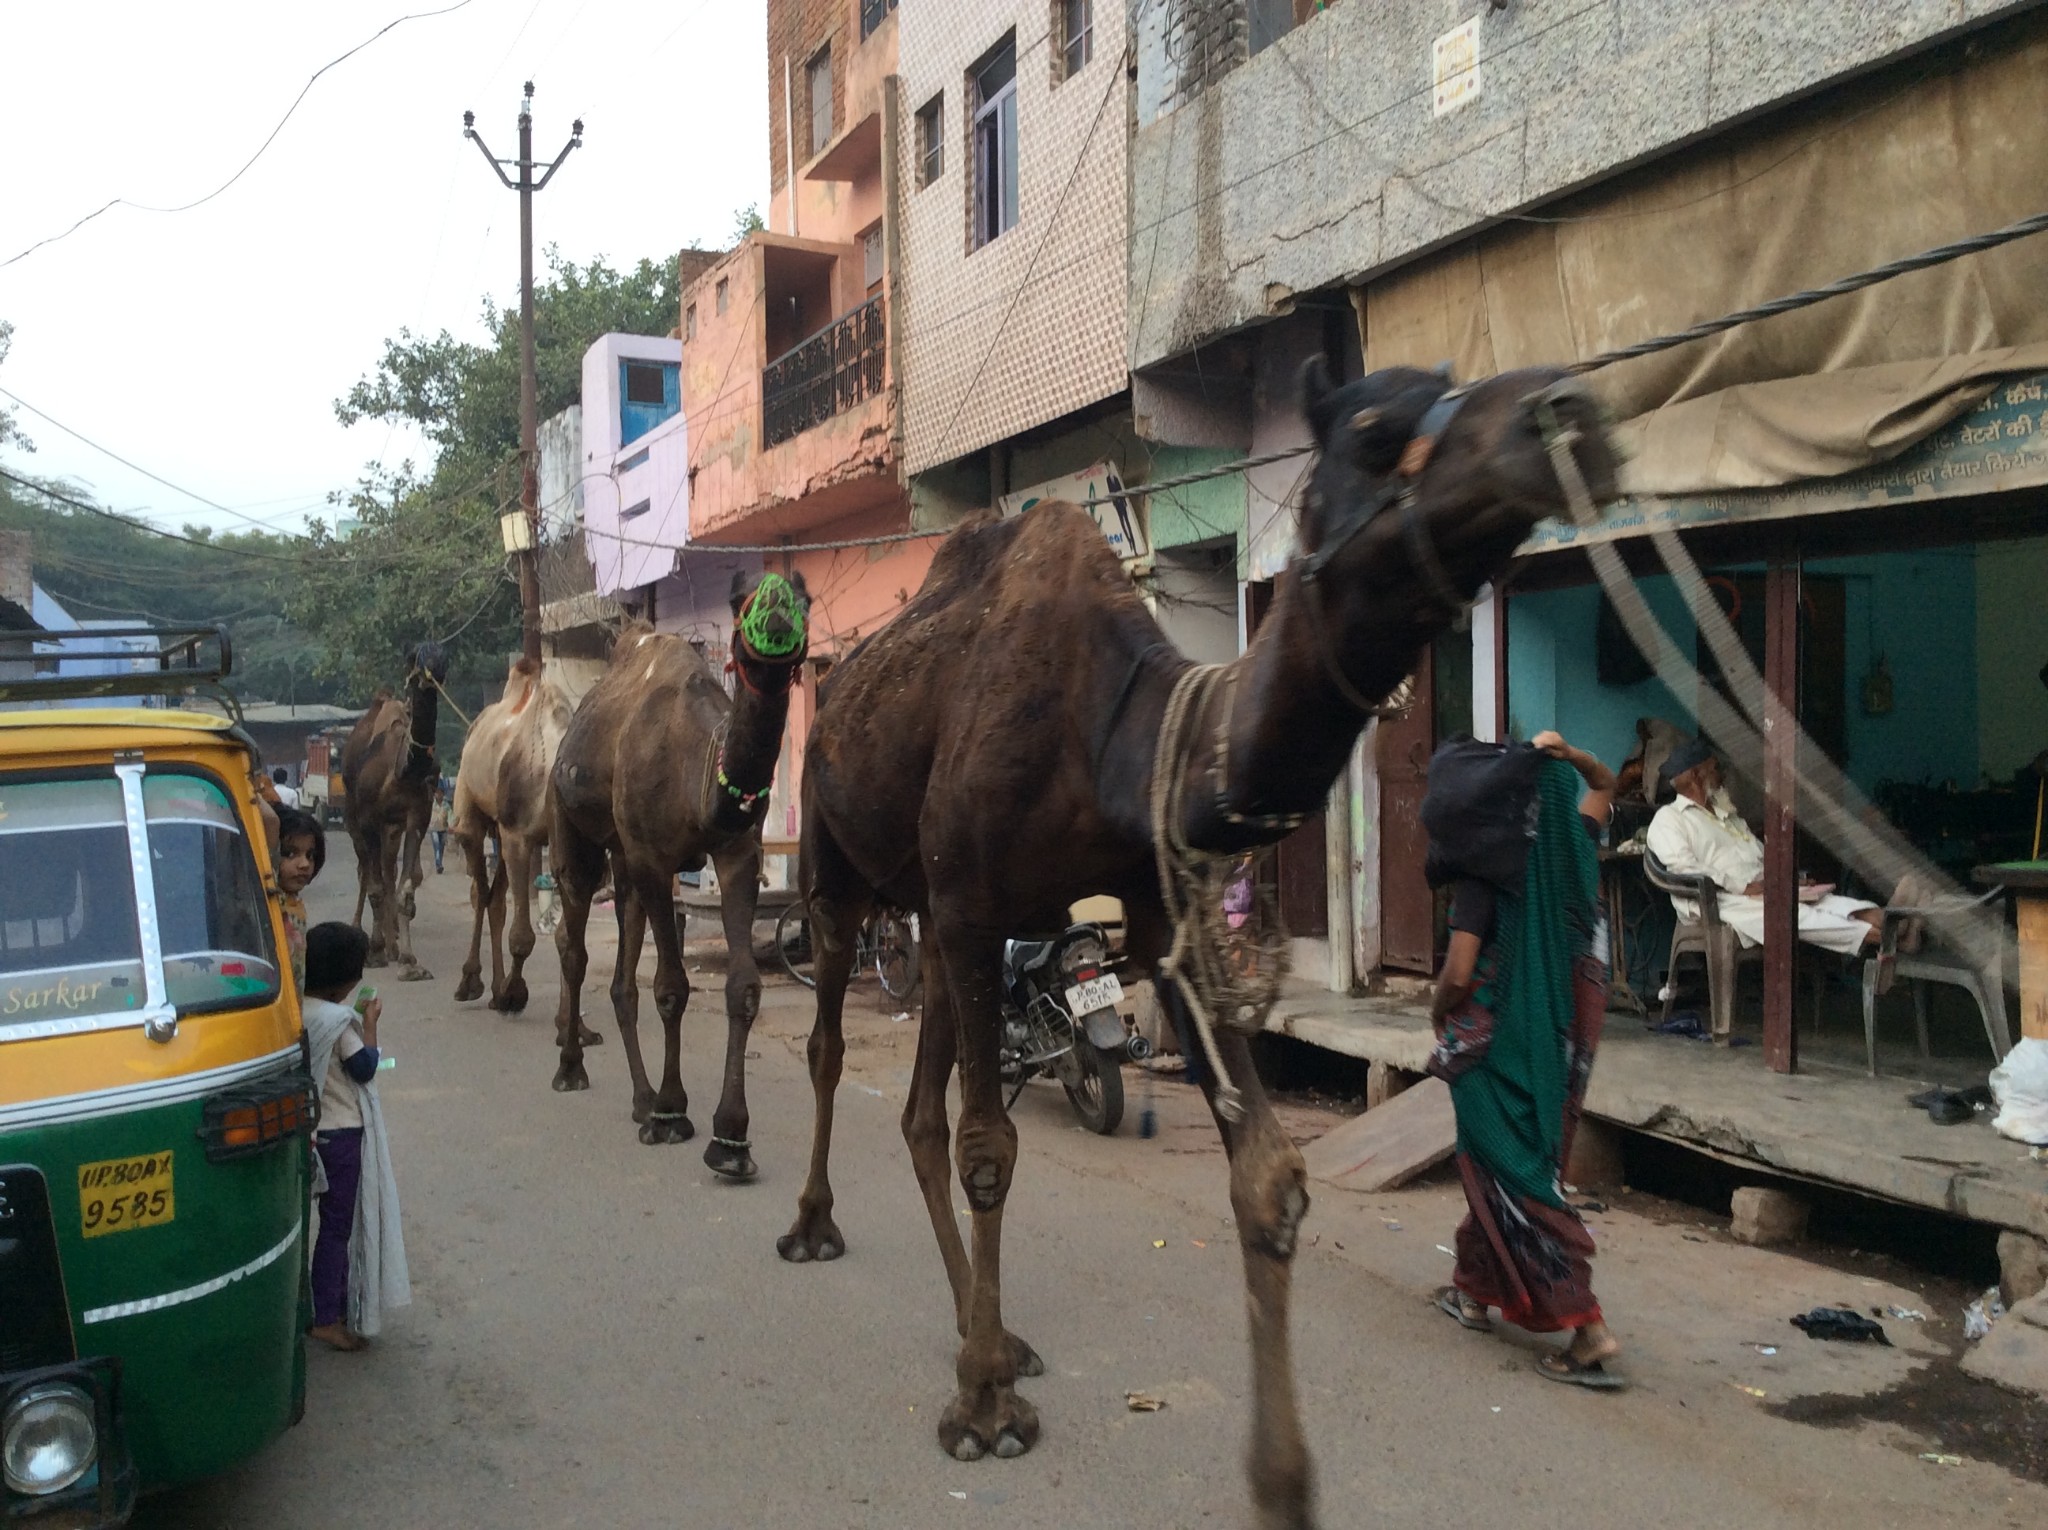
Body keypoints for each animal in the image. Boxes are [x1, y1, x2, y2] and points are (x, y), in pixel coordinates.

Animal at [342, 643, 450, 983]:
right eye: (417, 656)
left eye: (442, 655)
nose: (433, 670)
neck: (403, 770)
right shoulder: (367, 819)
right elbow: (375, 886)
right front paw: (375, 952)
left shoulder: (417, 816)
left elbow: (405, 889)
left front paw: (408, 960)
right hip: (352, 816)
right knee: (366, 871)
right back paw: (365, 935)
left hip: (391, 827)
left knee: (388, 869)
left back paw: (392, 943)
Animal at [460, 659, 589, 1015]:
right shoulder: (519, 836)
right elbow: (522, 935)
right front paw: (514, 994)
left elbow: (567, 938)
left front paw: (571, 1019)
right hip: (472, 812)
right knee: (480, 891)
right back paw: (471, 982)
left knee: (494, 898)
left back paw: (493, 989)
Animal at [548, 569, 811, 1179]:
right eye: (742, 601)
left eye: (803, 598)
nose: (777, 614)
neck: (699, 773)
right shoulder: (652, 857)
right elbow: (671, 986)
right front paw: (674, 1114)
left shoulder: (738, 852)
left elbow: (743, 987)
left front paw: (731, 1139)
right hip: (572, 823)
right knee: (574, 942)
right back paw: (573, 1069)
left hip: (624, 858)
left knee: (621, 973)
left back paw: (640, 1100)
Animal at [770, 364, 1613, 1523]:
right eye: (1371, 429)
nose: (1565, 411)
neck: (1123, 736)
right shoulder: (978, 897)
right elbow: (993, 1149)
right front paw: (982, 1417)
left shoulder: (1147, 902)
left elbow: (1268, 1176)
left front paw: (1283, 1481)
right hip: (843, 866)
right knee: (828, 1037)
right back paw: (819, 1232)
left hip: (934, 919)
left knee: (914, 1112)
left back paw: (991, 1336)